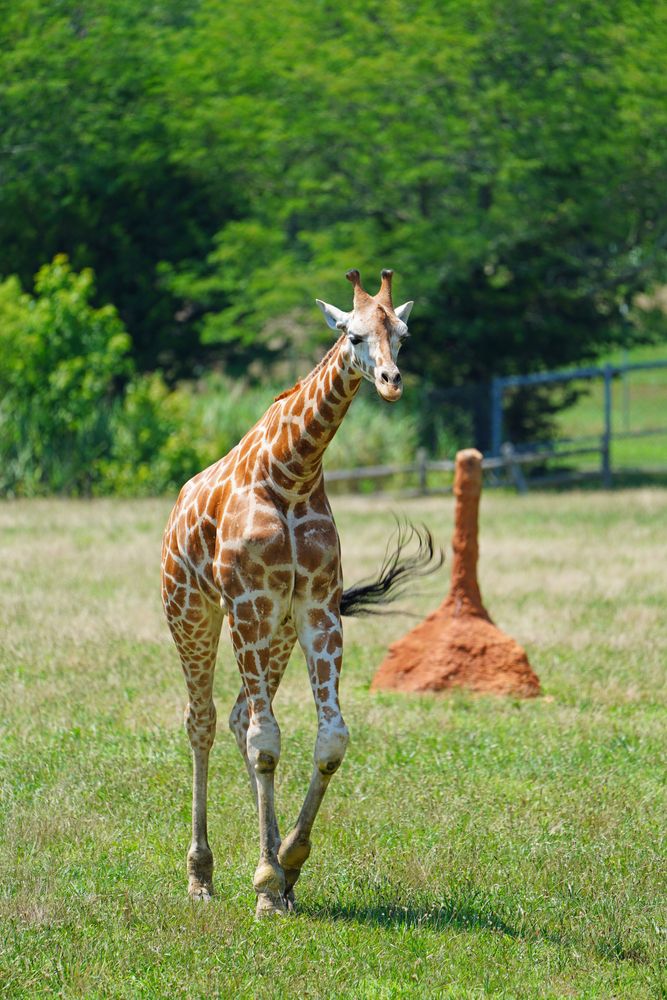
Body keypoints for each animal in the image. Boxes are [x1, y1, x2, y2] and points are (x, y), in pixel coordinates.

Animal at [161, 268, 429, 917]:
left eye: (402, 334)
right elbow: (267, 742)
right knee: (203, 721)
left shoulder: (315, 608)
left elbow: (329, 738)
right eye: (353, 335)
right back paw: (200, 876)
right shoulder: (247, 604)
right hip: (193, 613)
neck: (293, 471)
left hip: (276, 633)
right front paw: (264, 880)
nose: (391, 382)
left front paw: (288, 863)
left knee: (237, 717)